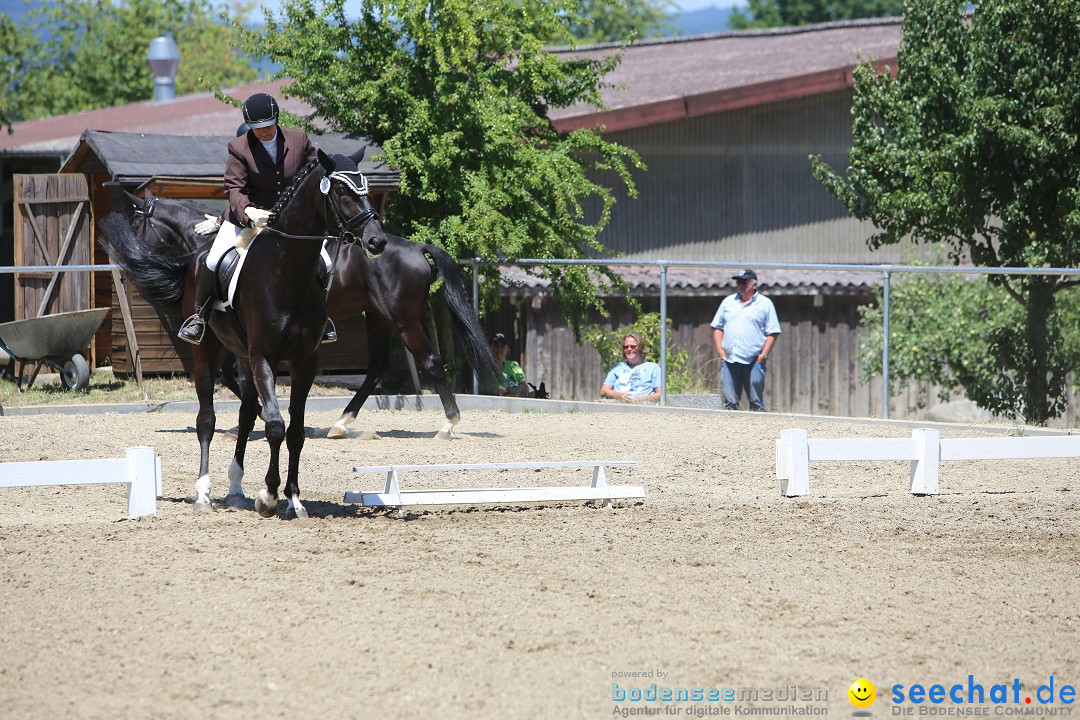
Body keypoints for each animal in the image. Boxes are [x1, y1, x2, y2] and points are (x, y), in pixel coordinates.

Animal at [101, 148, 380, 518]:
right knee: (207, 418)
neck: (288, 270)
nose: (378, 240)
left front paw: (293, 499)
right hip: (208, 351)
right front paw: (269, 496)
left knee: (246, 415)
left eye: (366, 188)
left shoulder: (304, 362)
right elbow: (275, 425)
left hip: (243, 356)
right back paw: (204, 493)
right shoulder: (264, 356)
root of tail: (196, 256)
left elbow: (295, 432)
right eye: (343, 191)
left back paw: (236, 487)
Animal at [119, 187, 501, 440]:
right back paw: (341, 423)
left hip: (403, 320)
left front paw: (259, 415)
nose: (124, 271)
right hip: (378, 317)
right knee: (376, 367)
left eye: (136, 226)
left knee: (431, 360)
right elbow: (235, 375)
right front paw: (257, 416)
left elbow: (232, 376)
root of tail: (416, 247)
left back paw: (448, 425)